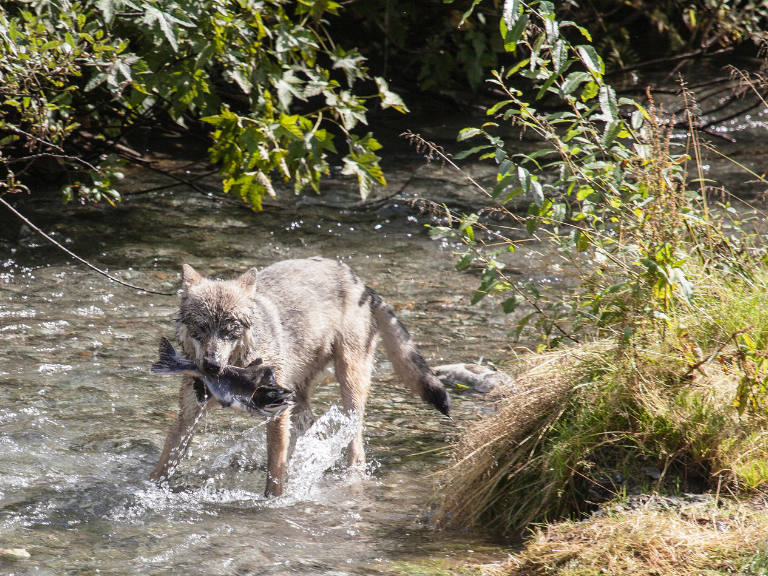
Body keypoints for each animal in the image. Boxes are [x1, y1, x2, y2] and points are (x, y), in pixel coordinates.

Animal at [149, 256, 450, 496]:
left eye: (229, 330)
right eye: (201, 328)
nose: (211, 366)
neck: (239, 363)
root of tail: (357, 280)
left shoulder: (277, 413)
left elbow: (274, 472)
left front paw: (273, 501)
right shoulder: (189, 416)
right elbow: (162, 466)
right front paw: (147, 493)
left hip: (348, 384)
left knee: (355, 447)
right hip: (300, 402)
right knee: (317, 440)